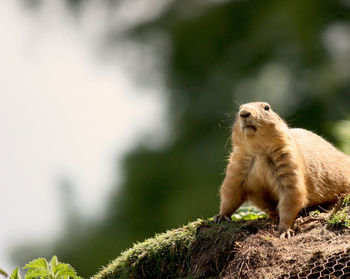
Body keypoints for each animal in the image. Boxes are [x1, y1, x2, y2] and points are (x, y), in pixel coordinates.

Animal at [213, 102, 350, 238]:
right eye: (239, 108)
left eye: (267, 107)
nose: (244, 113)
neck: (259, 150)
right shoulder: (237, 166)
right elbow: (230, 191)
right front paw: (220, 216)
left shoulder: (289, 163)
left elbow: (291, 194)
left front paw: (284, 230)